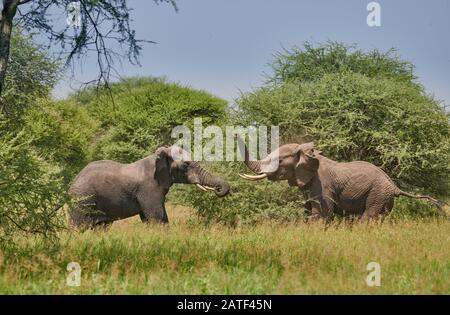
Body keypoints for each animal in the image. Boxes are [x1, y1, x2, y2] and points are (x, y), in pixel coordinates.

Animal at [68, 147, 230, 228]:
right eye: (186, 165)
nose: (218, 189)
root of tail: (74, 179)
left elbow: (161, 218)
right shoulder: (149, 188)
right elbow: (156, 217)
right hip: (82, 200)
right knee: (78, 227)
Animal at [237, 138, 444, 222]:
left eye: (280, 161)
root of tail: (394, 186)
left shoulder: (322, 185)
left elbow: (320, 215)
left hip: (378, 194)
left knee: (368, 217)